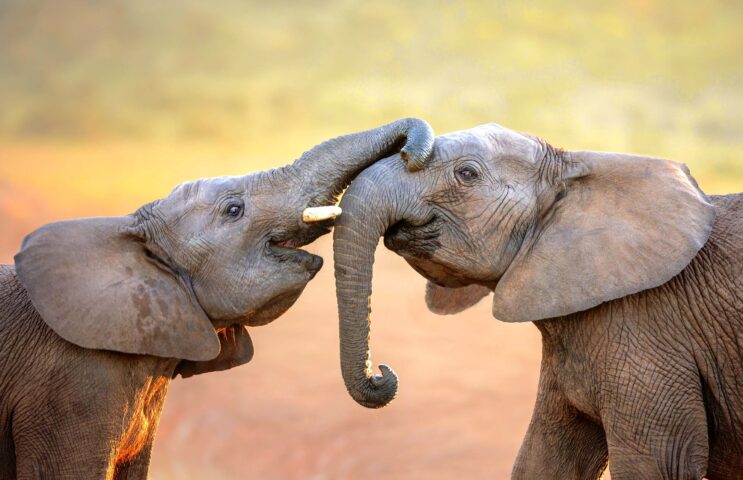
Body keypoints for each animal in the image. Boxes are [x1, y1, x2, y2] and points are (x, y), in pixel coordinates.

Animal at [332, 123, 742, 479]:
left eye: (466, 174)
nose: (381, 373)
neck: (575, 170)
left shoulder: (649, 332)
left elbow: (657, 465)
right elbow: (543, 460)